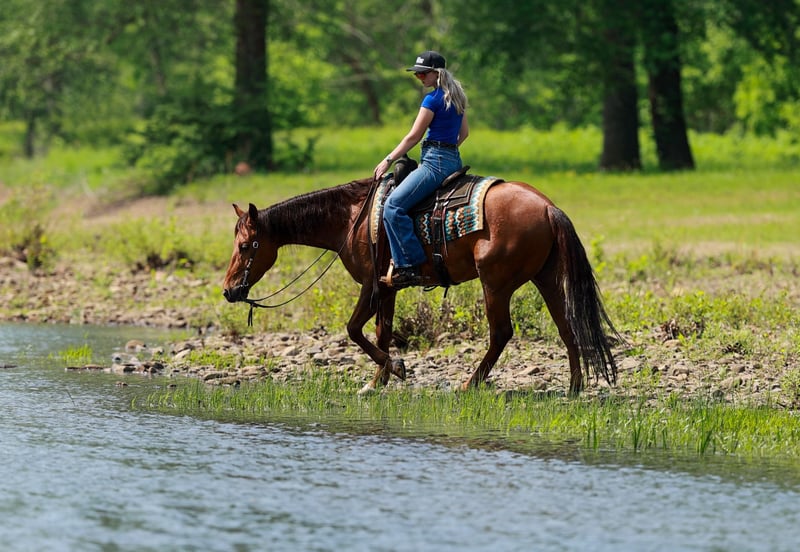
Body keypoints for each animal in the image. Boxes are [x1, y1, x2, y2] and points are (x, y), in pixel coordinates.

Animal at [222, 172, 620, 395]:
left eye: (244, 246)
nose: (228, 290)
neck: (353, 219)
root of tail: (547, 207)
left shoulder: (371, 284)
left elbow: (354, 330)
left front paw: (394, 369)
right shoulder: (389, 287)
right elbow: (381, 332)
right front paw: (377, 381)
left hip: (496, 283)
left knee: (501, 333)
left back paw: (469, 384)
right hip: (546, 278)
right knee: (566, 326)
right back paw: (574, 386)